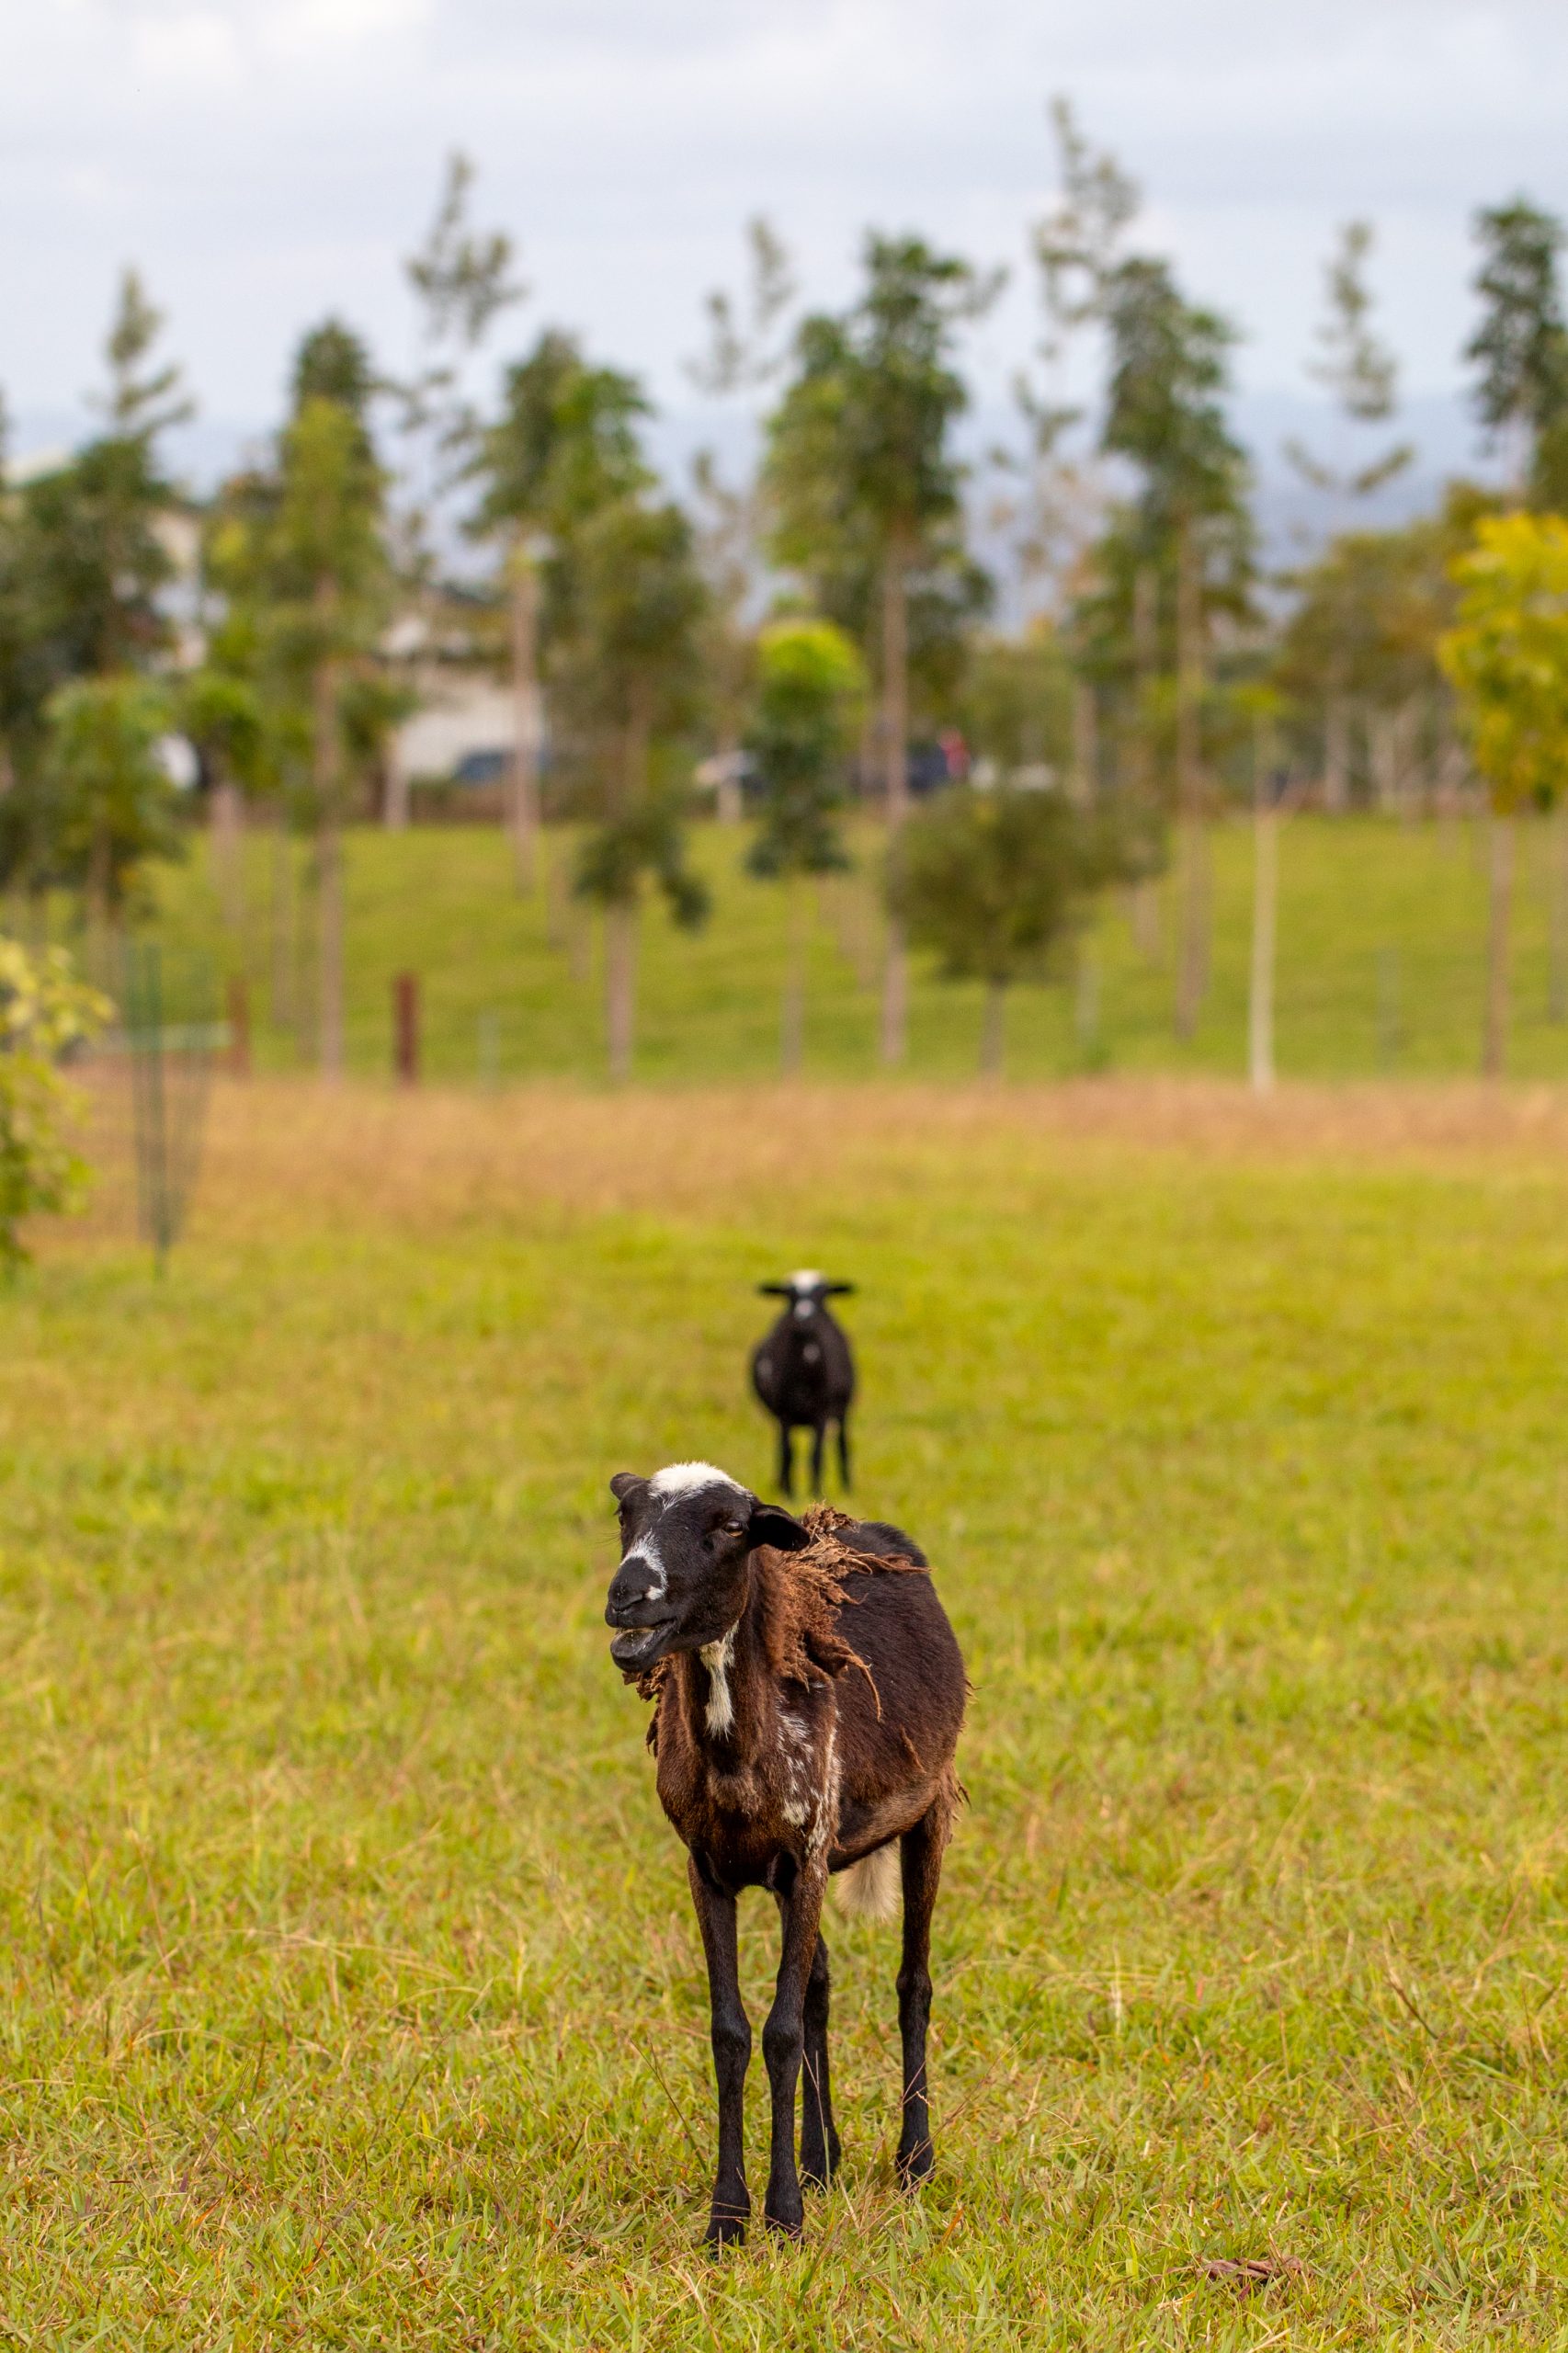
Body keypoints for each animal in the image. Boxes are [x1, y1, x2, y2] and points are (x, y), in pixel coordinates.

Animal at [603, 1460, 966, 2245]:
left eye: (732, 1527)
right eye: (626, 1515)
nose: (626, 1597)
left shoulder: (805, 1855)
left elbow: (781, 2031)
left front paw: (785, 2217)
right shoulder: (713, 1869)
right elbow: (734, 2033)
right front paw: (728, 2217)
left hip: (927, 1811)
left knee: (913, 1984)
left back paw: (914, 2161)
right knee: (822, 1985)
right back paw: (821, 2157)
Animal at [750, 1271, 856, 1499]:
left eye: (822, 1294)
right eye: (790, 1295)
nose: (805, 1318)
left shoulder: (822, 1413)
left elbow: (816, 1455)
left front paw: (815, 1492)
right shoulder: (784, 1414)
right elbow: (788, 1453)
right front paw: (788, 1493)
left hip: (841, 1411)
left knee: (842, 1444)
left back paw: (847, 1486)